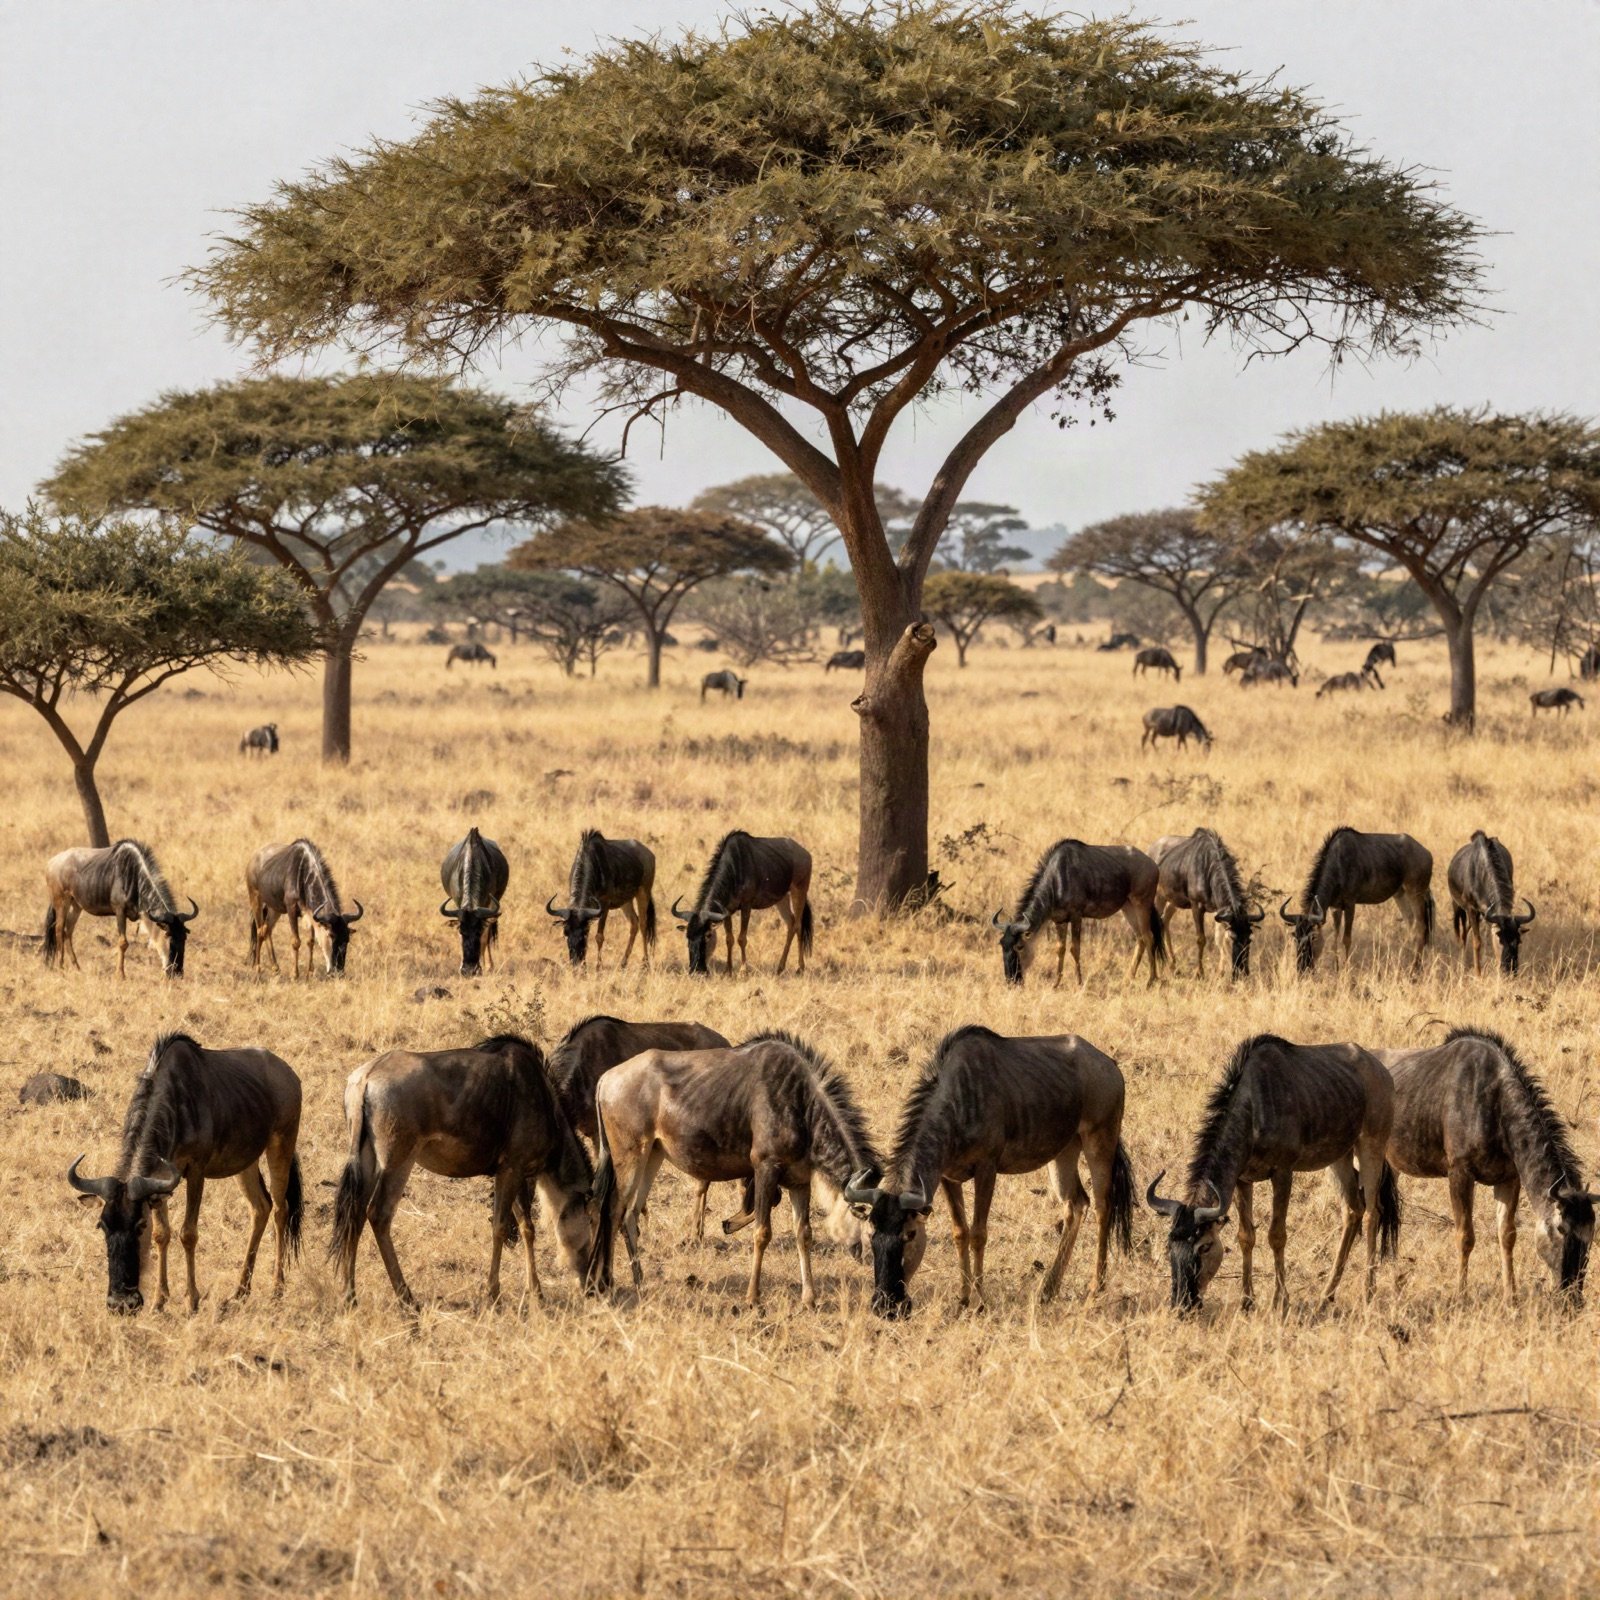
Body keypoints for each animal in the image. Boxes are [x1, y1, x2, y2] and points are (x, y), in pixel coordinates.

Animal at [43, 840, 198, 978]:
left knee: (68, 931)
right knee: (59, 930)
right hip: (61, 902)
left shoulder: (143, 915)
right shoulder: (120, 911)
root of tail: (51, 863)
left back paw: (77, 967)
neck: (135, 877)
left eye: (184, 937)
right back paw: (61, 967)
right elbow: (123, 943)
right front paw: (120, 975)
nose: (177, 972)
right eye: (169, 936)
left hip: (76, 905)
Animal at [67, 1033, 302, 1314]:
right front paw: (159, 1301)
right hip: (246, 1162)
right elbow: (162, 1235)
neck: (173, 1101)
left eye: (139, 1225)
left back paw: (277, 1289)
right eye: (102, 1225)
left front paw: (192, 1300)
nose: (121, 1303)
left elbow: (188, 1233)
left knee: (280, 1209)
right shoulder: (158, 1178)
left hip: (281, 1145)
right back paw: (239, 1292)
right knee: (260, 1208)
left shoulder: (196, 1171)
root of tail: (289, 1074)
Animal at [844, 1026, 1134, 1318]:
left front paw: (980, 1301)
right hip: (1064, 1152)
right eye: (871, 1236)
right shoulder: (948, 1176)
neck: (957, 1101)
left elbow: (978, 1233)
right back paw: (1047, 1290)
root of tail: (1110, 1066)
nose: (886, 1306)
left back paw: (1095, 1290)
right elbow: (960, 1232)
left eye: (910, 1234)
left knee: (1102, 1206)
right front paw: (962, 1299)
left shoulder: (987, 1169)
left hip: (1099, 1141)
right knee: (1075, 1203)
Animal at [993, 839, 1165, 987]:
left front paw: (1079, 982)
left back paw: (1151, 980)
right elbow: (1060, 949)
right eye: (1002, 944)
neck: (1057, 879)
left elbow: (1075, 949)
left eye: (1020, 946)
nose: (1011, 980)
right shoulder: (1059, 920)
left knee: (1148, 937)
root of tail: (1153, 865)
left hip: (1142, 904)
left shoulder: (1076, 917)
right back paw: (1127, 979)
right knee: (1140, 938)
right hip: (1128, 907)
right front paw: (1056, 984)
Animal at [1147, 1034, 1400, 1311]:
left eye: (1204, 1247)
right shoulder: (1242, 1180)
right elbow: (1246, 1235)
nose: (1182, 1303)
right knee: (1353, 1210)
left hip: (1371, 1145)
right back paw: (1326, 1295)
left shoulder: (1283, 1173)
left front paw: (1281, 1300)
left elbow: (1276, 1235)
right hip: (1339, 1158)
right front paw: (1247, 1301)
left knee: (1372, 1213)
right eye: (1170, 1245)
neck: (1253, 1108)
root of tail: (1381, 1071)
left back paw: (1368, 1292)